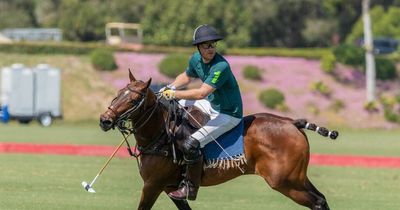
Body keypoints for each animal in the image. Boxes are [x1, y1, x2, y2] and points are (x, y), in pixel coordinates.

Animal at [99, 71, 338, 209]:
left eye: (134, 100)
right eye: (119, 92)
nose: (104, 120)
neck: (160, 134)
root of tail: (292, 123)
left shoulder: (152, 185)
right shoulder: (169, 188)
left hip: (284, 182)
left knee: (317, 202)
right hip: (297, 178)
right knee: (321, 199)